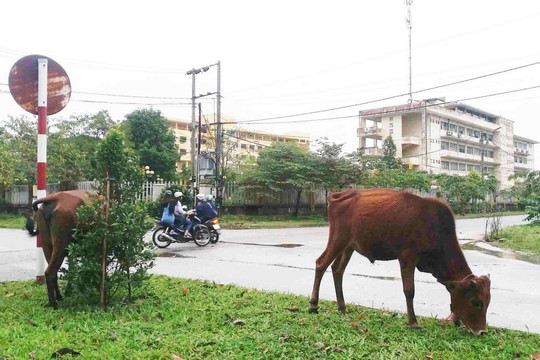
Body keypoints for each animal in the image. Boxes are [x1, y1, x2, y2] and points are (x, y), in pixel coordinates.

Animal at [308, 188, 490, 334]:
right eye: (476, 302)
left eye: (487, 302)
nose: (482, 332)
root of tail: (339, 196)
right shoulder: (408, 257)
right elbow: (409, 291)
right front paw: (413, 323)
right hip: (338, 239)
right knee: (321, 264)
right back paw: (313, 305)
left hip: (349, 247)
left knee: (337, 270)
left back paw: (342, 307)